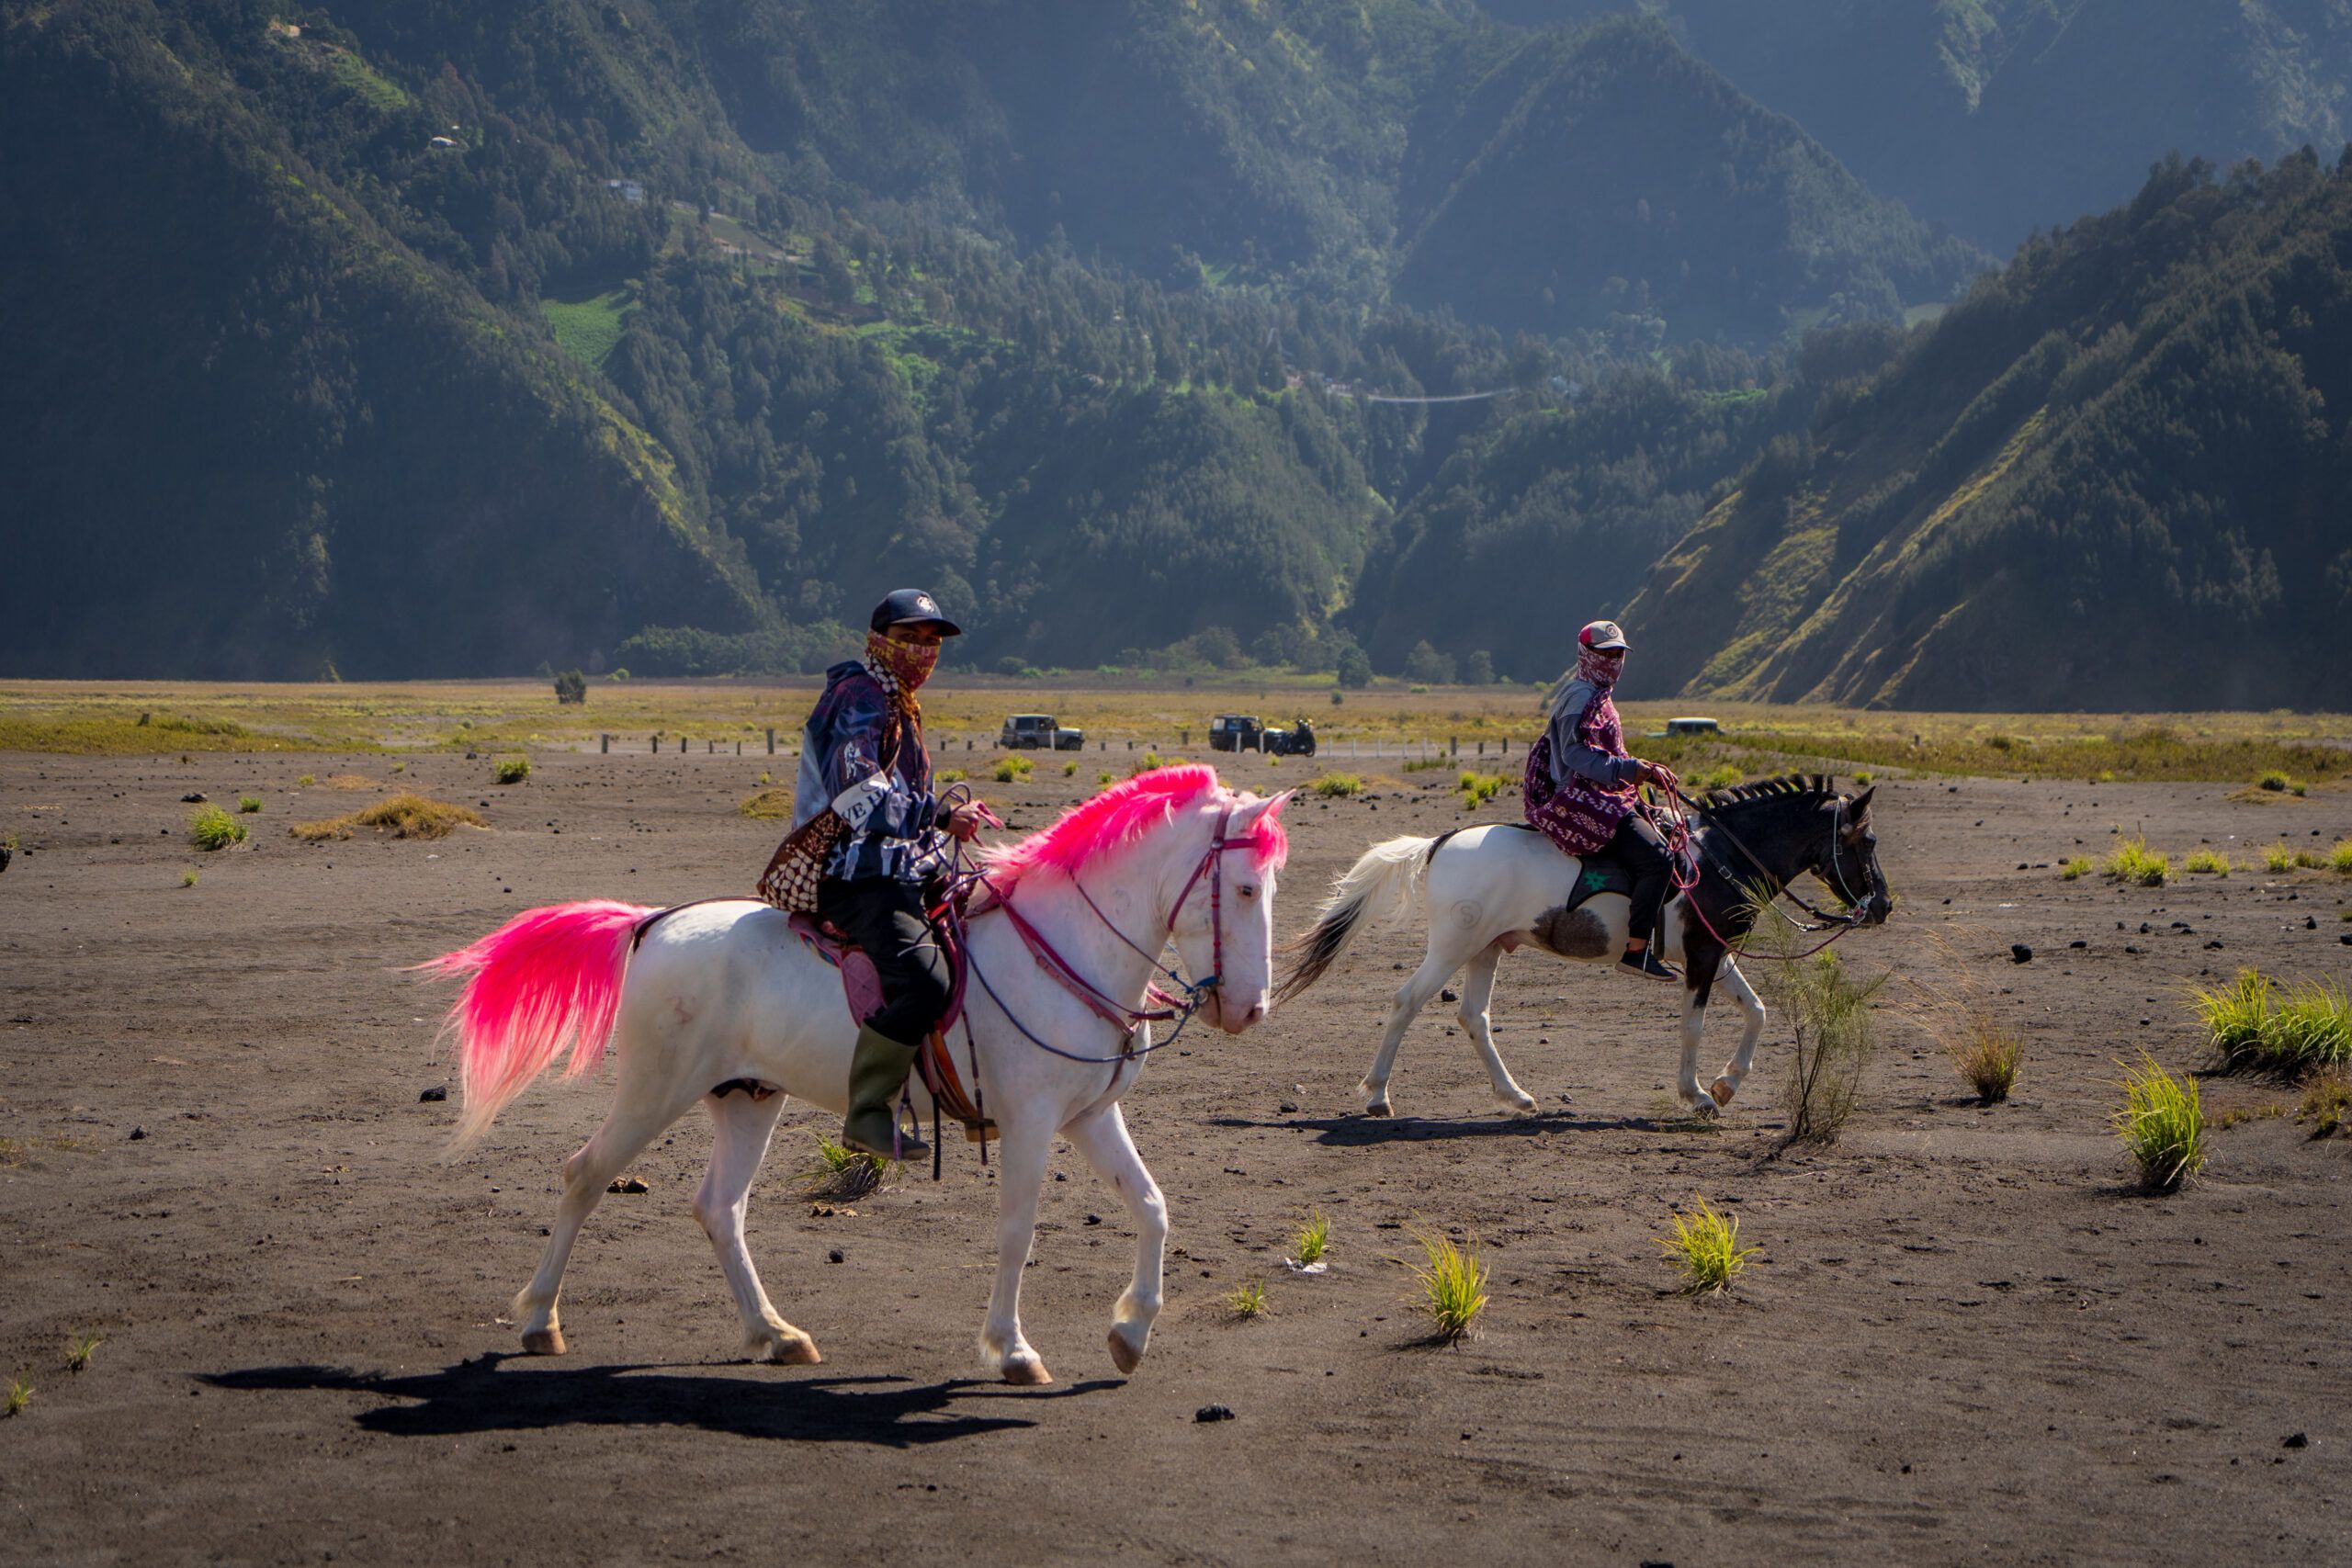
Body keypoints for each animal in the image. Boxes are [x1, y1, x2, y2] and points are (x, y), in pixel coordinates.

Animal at [433, 766, 1298, 1392]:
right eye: (1245, 888)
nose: (1250, 1009)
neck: (1062, 946)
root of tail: (651, 923)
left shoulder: (1089, 1116)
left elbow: (1152, 1206)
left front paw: (1130, 1332)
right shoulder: (1030, 1121)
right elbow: (1018, 1231)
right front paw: (1012, 1349)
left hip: (748, 1099)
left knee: (719, 1208)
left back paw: (774, 1333)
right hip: (655, 1090)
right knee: (585, 1174)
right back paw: (540, 1321)